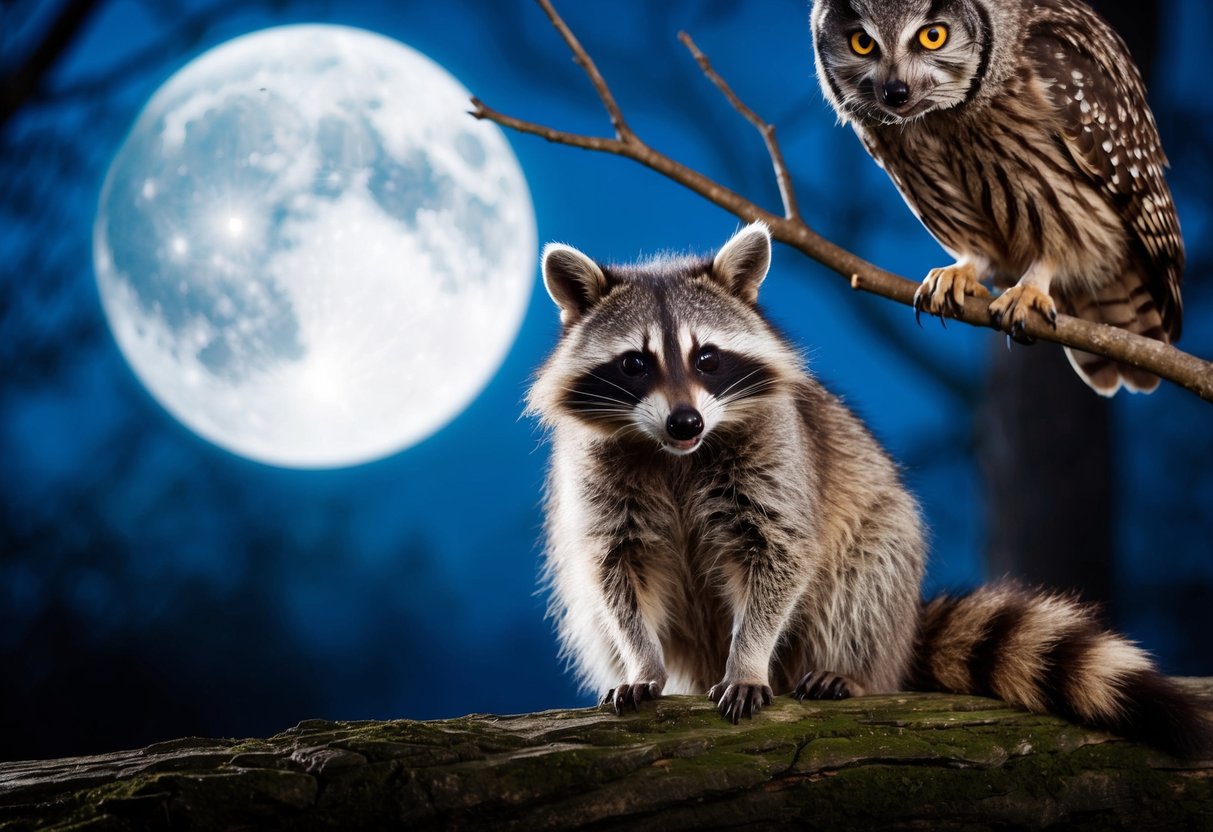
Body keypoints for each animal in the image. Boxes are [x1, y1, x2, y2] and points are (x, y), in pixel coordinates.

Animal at [528, 222, 1212, 758]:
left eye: (708, 359)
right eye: (635, 363)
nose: (685, 423)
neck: (675, 455)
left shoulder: (776, 456)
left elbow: (780, 553)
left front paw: (748, 657)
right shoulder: (600, 480)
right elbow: (615, 572)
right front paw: (642, 660)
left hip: (882, 556)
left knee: (861, 578)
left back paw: (847, 670)